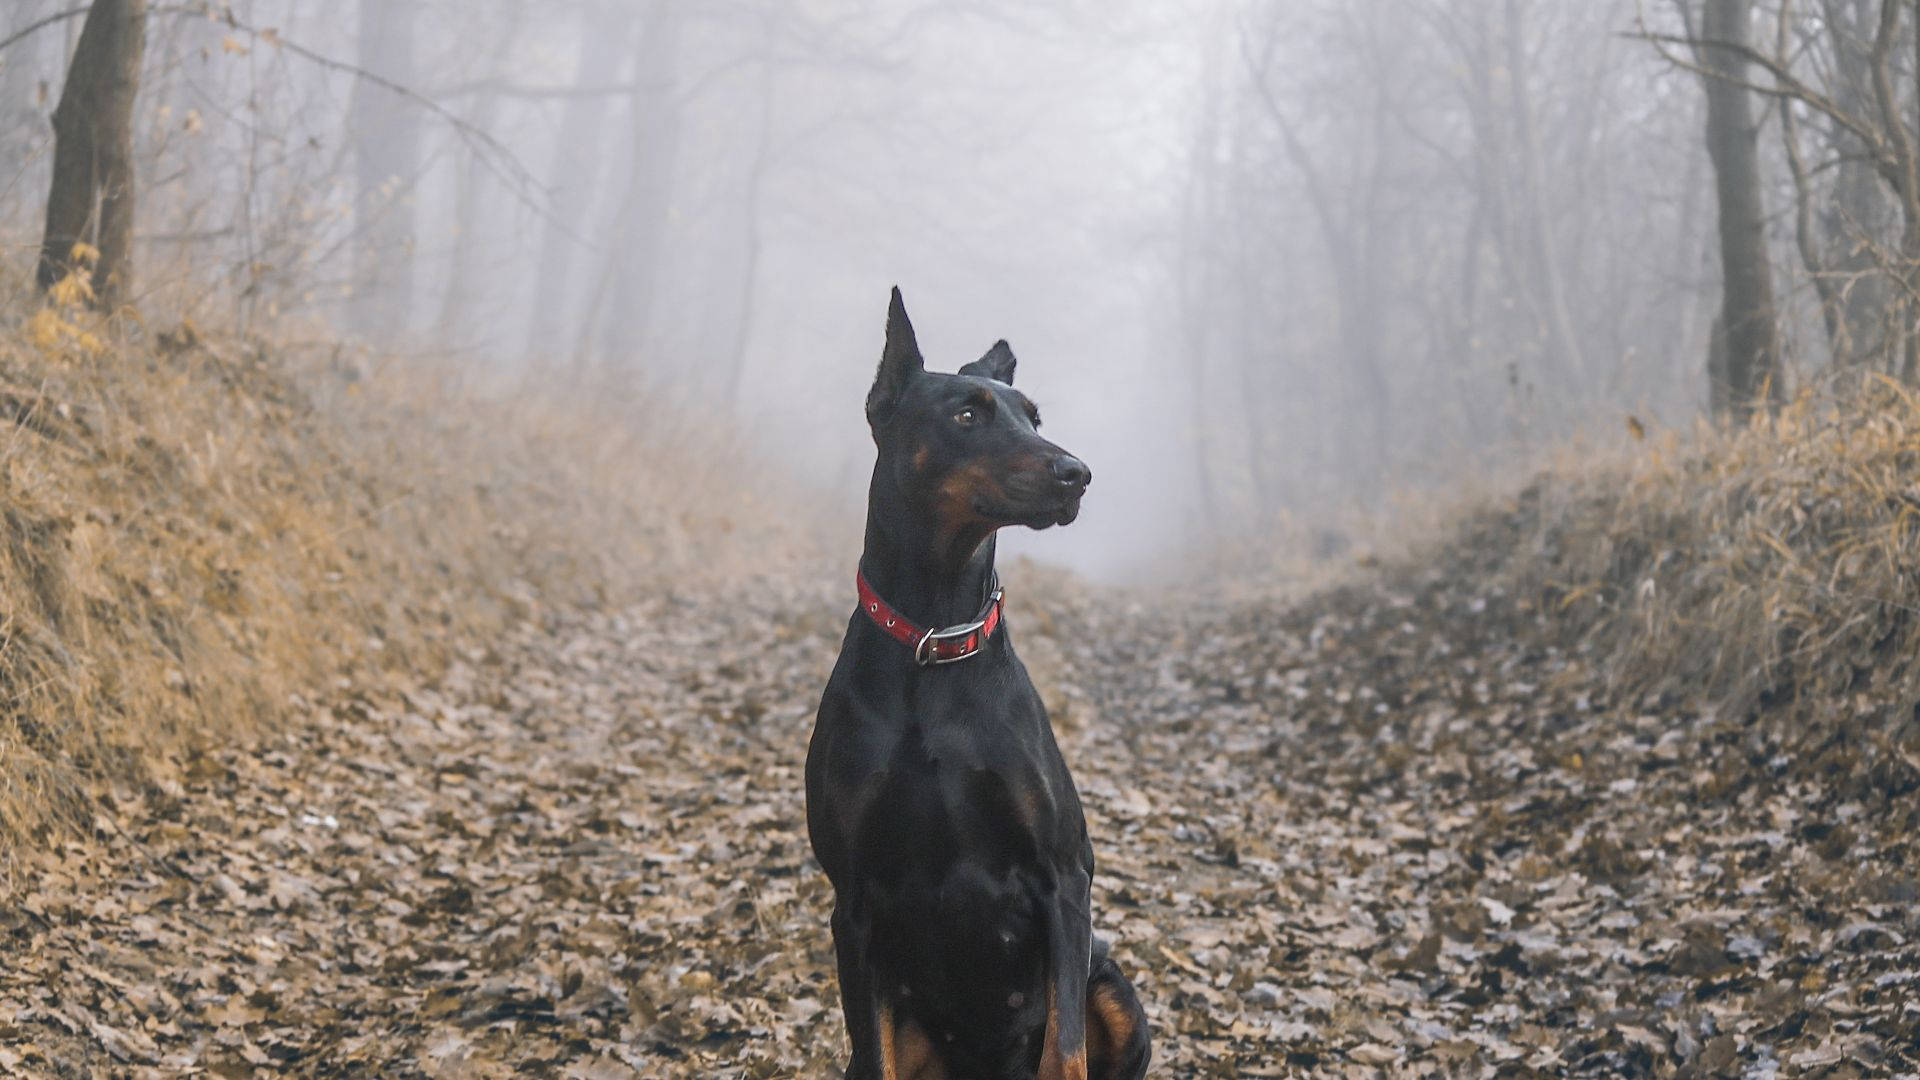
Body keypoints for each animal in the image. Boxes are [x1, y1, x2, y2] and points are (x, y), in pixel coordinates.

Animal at [802, 288, 1144, 1076]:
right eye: (966, 415)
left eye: (1033, 418)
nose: (1077, 472)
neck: (936, 636)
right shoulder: (853, 906)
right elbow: (874, 1054)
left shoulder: (1063, 877)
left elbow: (1065, 1052)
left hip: (1113, 985)